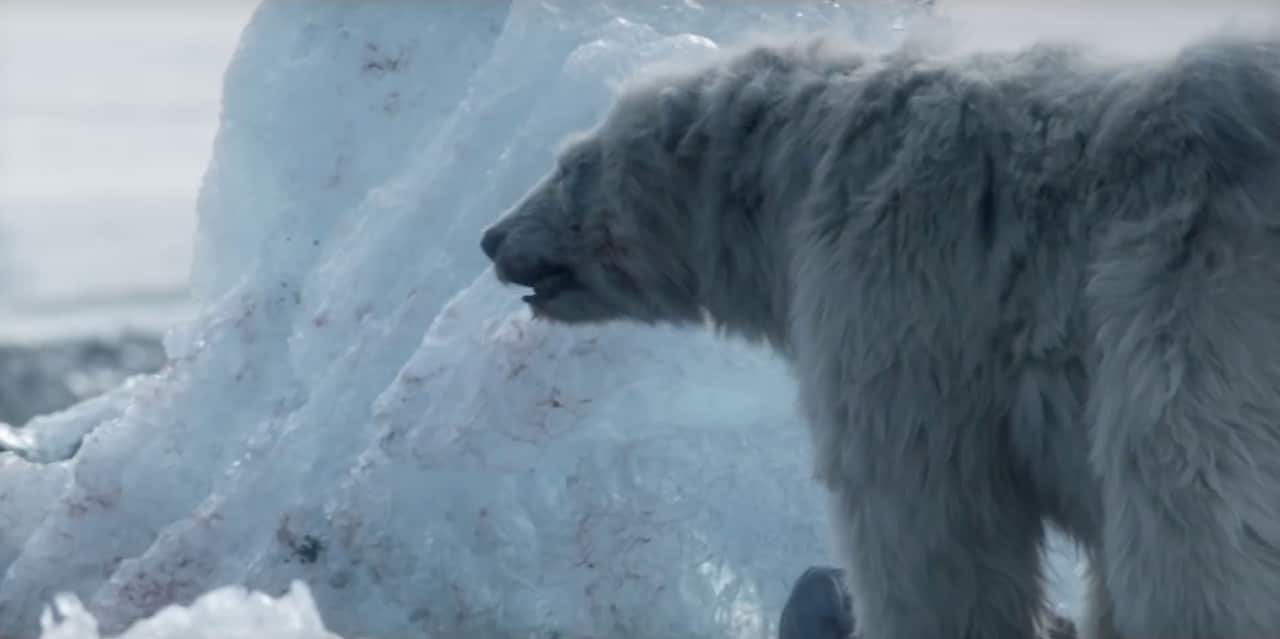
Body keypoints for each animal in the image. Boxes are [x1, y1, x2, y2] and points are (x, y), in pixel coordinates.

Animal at [480, 31, 1280, 639]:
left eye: (572, 162)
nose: (491, 237)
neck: (799, 164)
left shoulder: (898, 296)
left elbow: (929, 521)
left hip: (1183, 313)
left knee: (1190, 523)